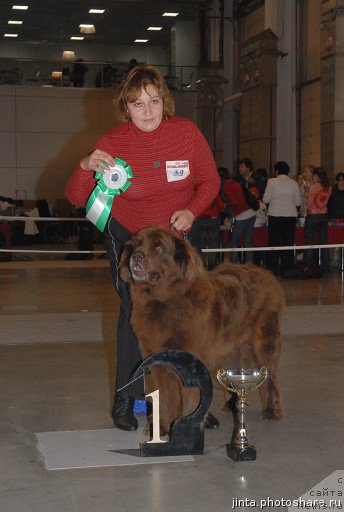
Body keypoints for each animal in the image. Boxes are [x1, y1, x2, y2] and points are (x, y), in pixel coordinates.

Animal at [119, 226, 284, 434]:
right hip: (230, 348)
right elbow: (164, 397)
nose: (137, 256)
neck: (164, 301)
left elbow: (190, 399)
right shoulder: (158, 361)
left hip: (266, 339)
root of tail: (265, 273)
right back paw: (229, 405)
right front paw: (162, 428)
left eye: (159, 248)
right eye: (138, 244)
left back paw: (272, 411)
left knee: (270, 376)